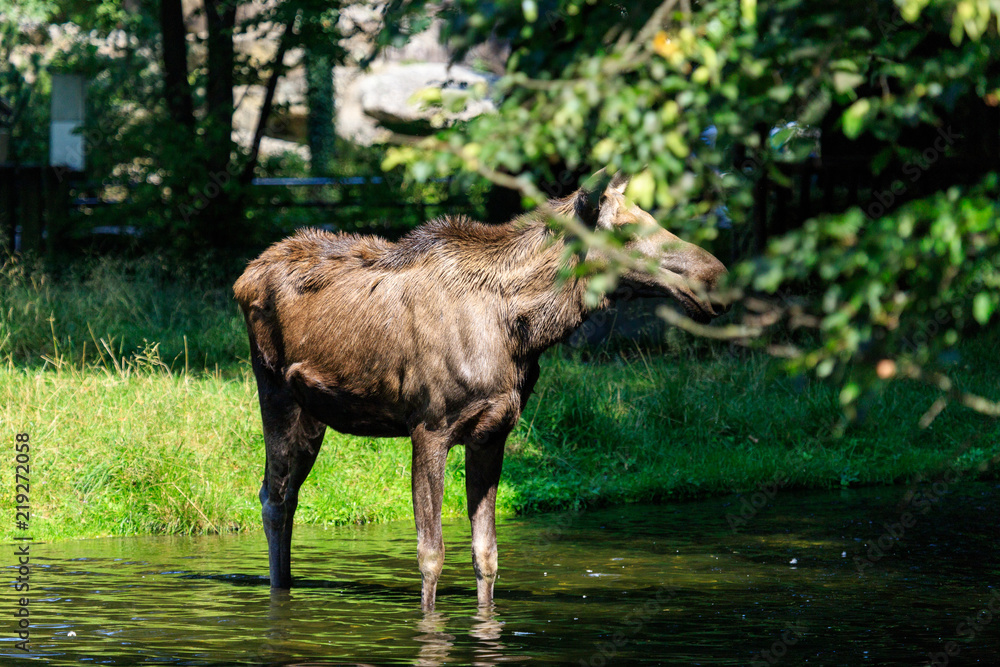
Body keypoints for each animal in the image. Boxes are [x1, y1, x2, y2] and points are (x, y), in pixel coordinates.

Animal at [233, 168, 728, 611]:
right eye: (625, 229)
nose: (715, 277)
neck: (524, 332)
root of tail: (244, 276)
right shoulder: (429, 428)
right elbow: (430, 555)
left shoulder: (493, 432)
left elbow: (486, 555)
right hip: (275, 392)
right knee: (273, 497)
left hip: (314, 415)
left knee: (287, 495)